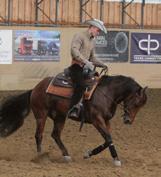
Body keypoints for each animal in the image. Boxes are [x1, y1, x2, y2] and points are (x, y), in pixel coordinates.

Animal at [0, 70, 147, 166]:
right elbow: (109, 138)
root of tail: (35, 88)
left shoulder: (106, 121)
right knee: (39, 135)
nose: (128, 120)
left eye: (140, 106)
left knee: (55, 135)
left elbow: (107, 139)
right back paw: (40, 157)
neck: (106, 93)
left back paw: (66, 155)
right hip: (41, 115)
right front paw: (116, 159)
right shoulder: (97, 119)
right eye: (136, 103)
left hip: (59, 117)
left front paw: (88, 153)